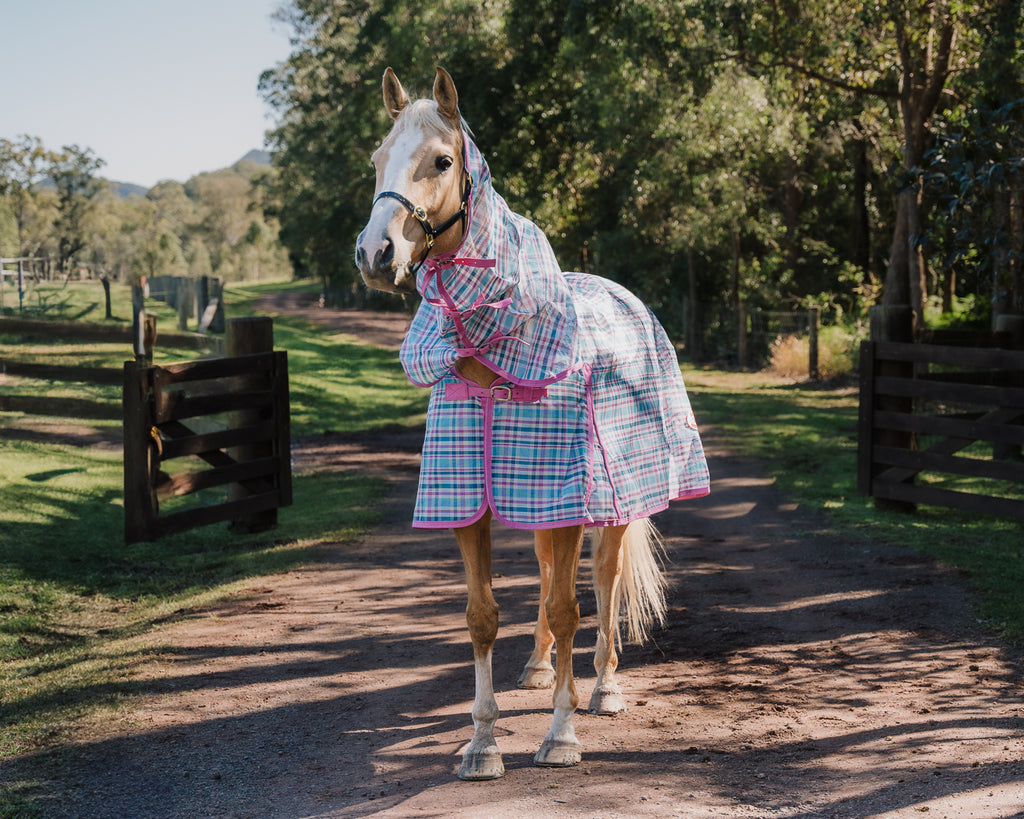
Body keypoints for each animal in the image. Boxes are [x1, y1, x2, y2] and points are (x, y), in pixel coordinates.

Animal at [355, 67, 710, 780]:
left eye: (442, 160)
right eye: (378, 159)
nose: (375, 254)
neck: (489, 355)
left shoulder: (567, 502)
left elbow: (570, 608)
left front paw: (561, 736)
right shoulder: (471, 503)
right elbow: (483, 616)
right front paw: (482, 744)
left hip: (607, 507)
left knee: (601, 581)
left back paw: (602, 688)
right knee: (548, 577)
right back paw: (542, 669)